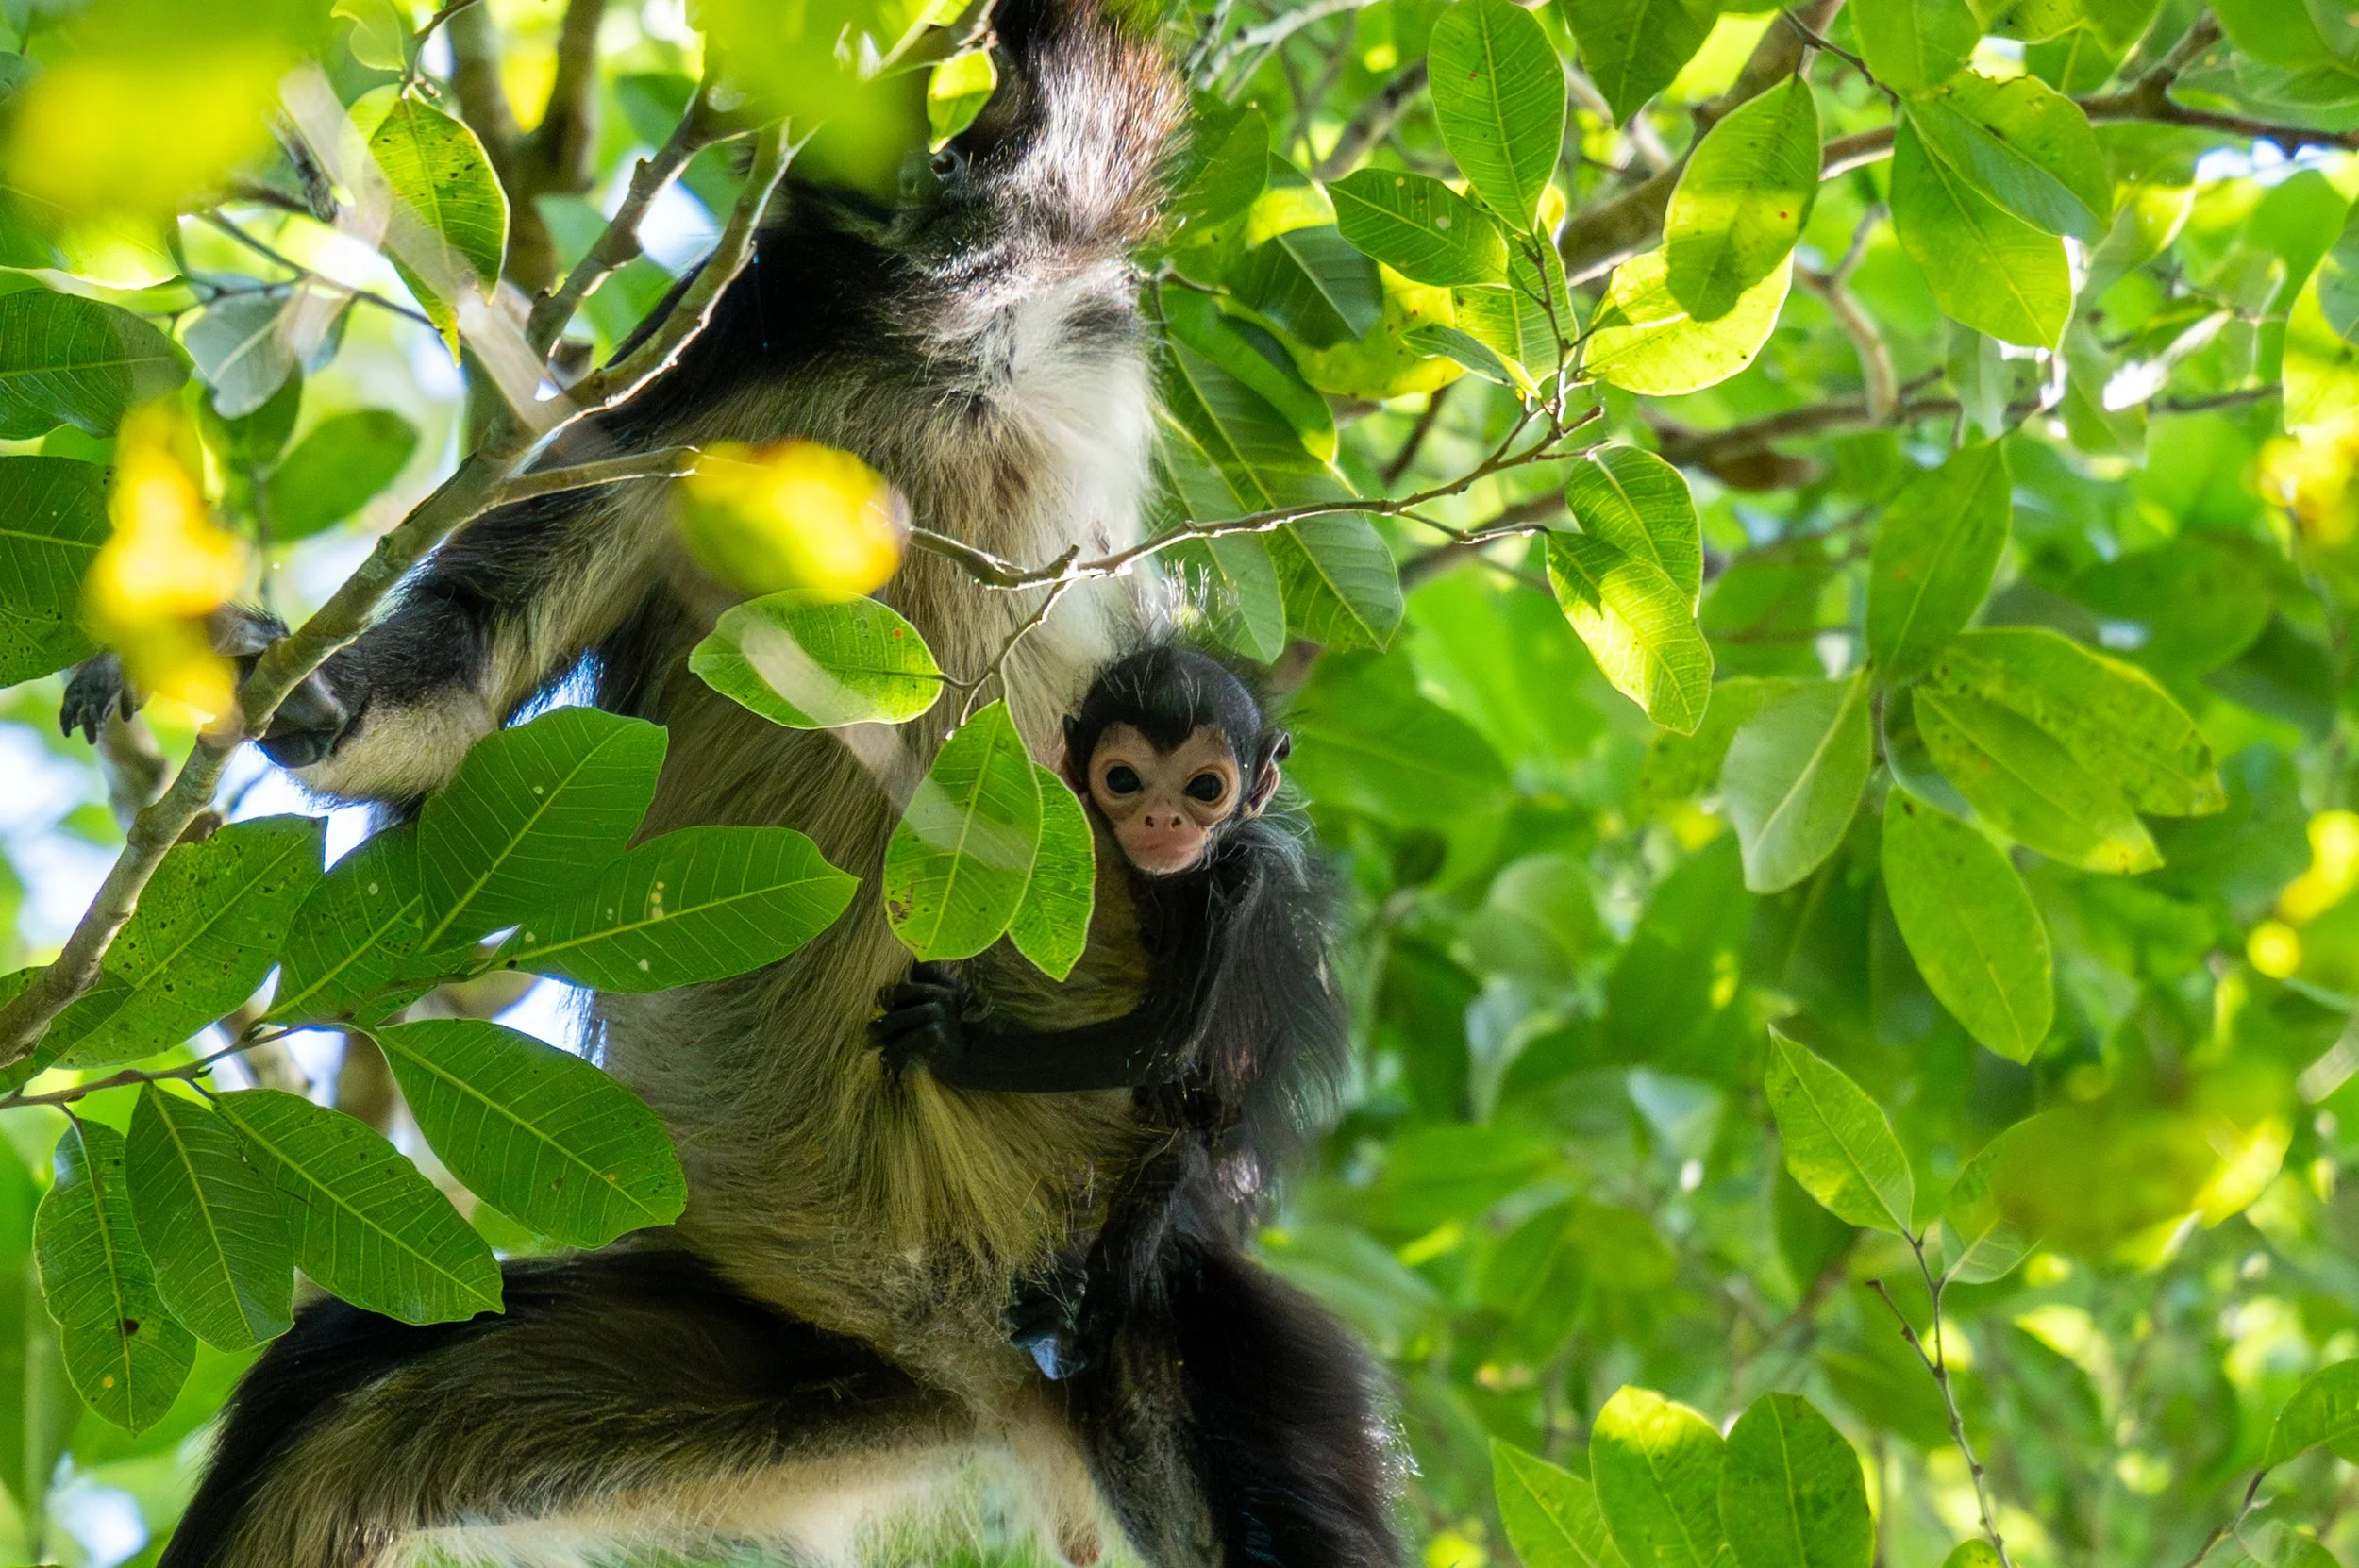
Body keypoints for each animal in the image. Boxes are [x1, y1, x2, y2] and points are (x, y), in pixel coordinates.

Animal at [96, 1, 1403, 1563]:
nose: (910, 156)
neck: (944, 348)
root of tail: (972, 1362)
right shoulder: (720, 374)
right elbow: (470, 669)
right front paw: (283, 689)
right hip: (795, 1362)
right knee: (327, 1404)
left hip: (1157, 1316)